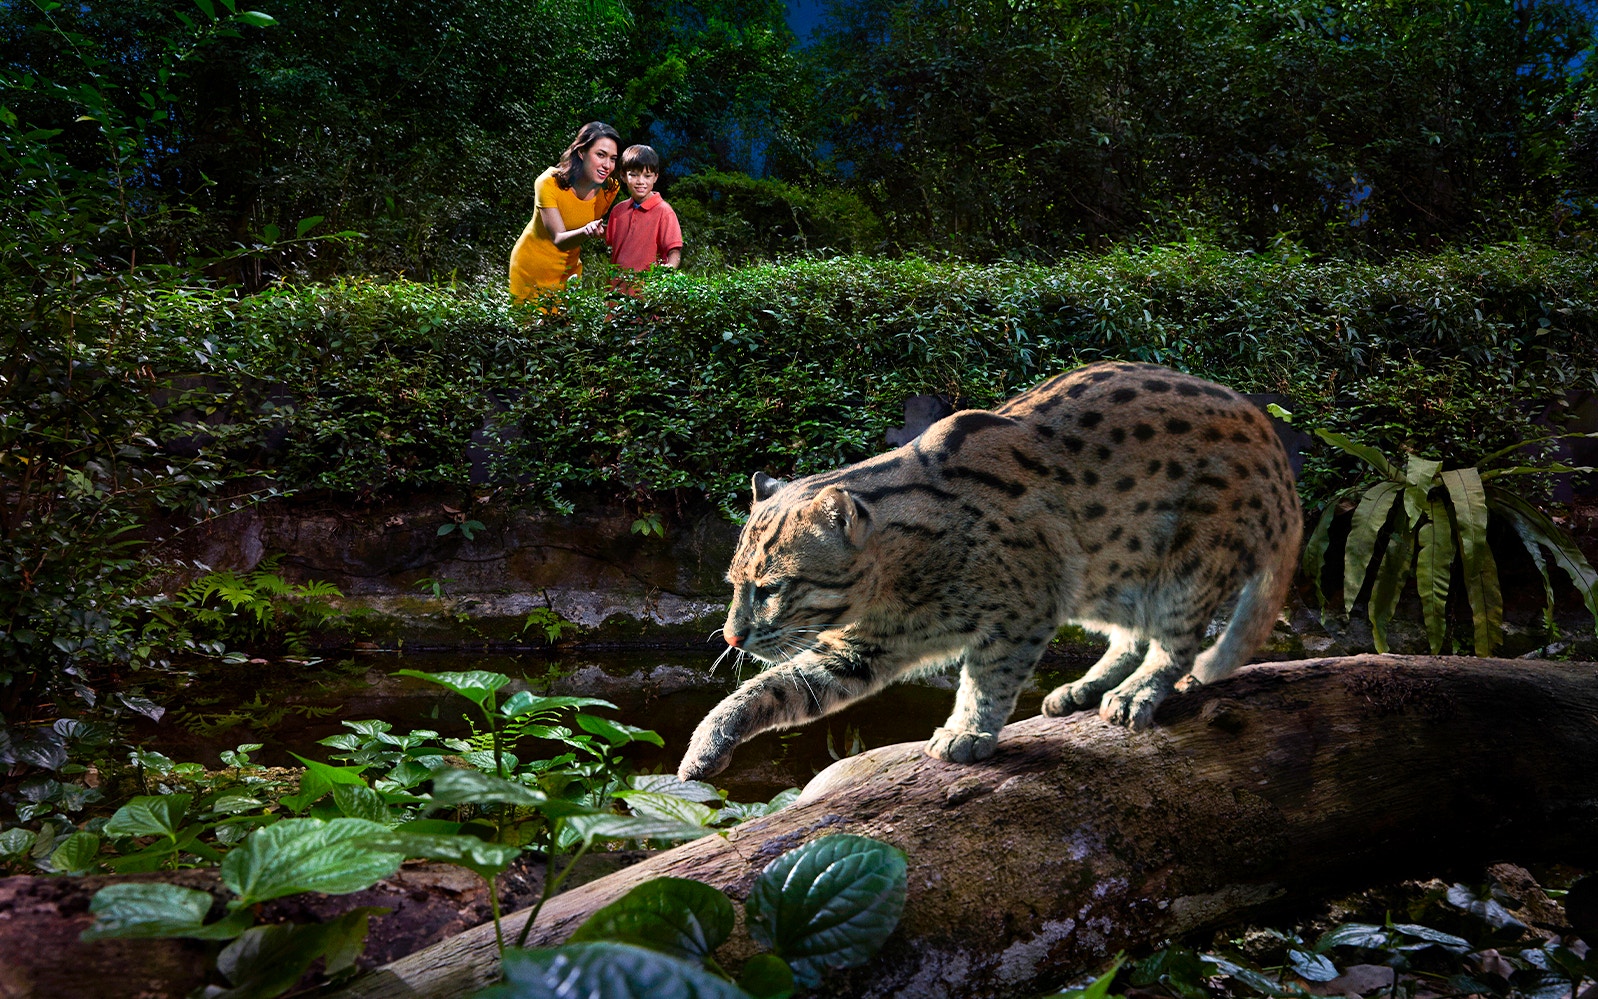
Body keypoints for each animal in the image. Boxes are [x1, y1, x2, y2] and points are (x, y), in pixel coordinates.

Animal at [677, 361, 1302, 782]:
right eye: (733, 586)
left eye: (771, 589)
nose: (730, 637)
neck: (896, 587)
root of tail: (1274, 447)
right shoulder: (861, 652)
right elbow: (772, 689)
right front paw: (706, 744)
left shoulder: (1024, 610)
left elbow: (989, 678)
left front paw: (967, 730)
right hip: (1108, 577)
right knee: (1133, 636)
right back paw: (1086, 686)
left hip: (1186, 566)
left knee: (1175, 644)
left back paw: (1134, 692)